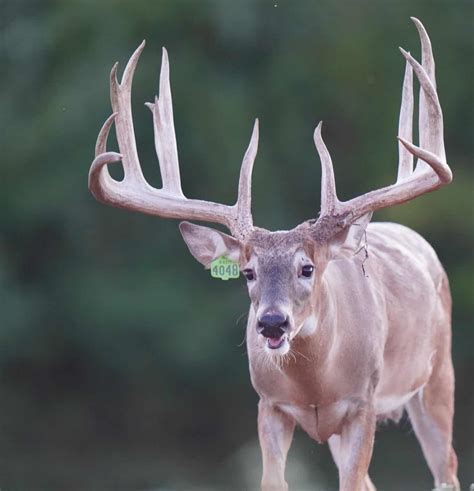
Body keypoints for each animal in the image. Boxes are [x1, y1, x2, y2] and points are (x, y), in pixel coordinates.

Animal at [89, 17, 460, 490]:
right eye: (247, 272)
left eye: (307, 267)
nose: (271, 322)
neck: (315, 384)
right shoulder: (268, 405)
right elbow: (274, 480)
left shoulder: (363, 403)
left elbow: (353, 480)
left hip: (438, 376)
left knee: (447, 468)